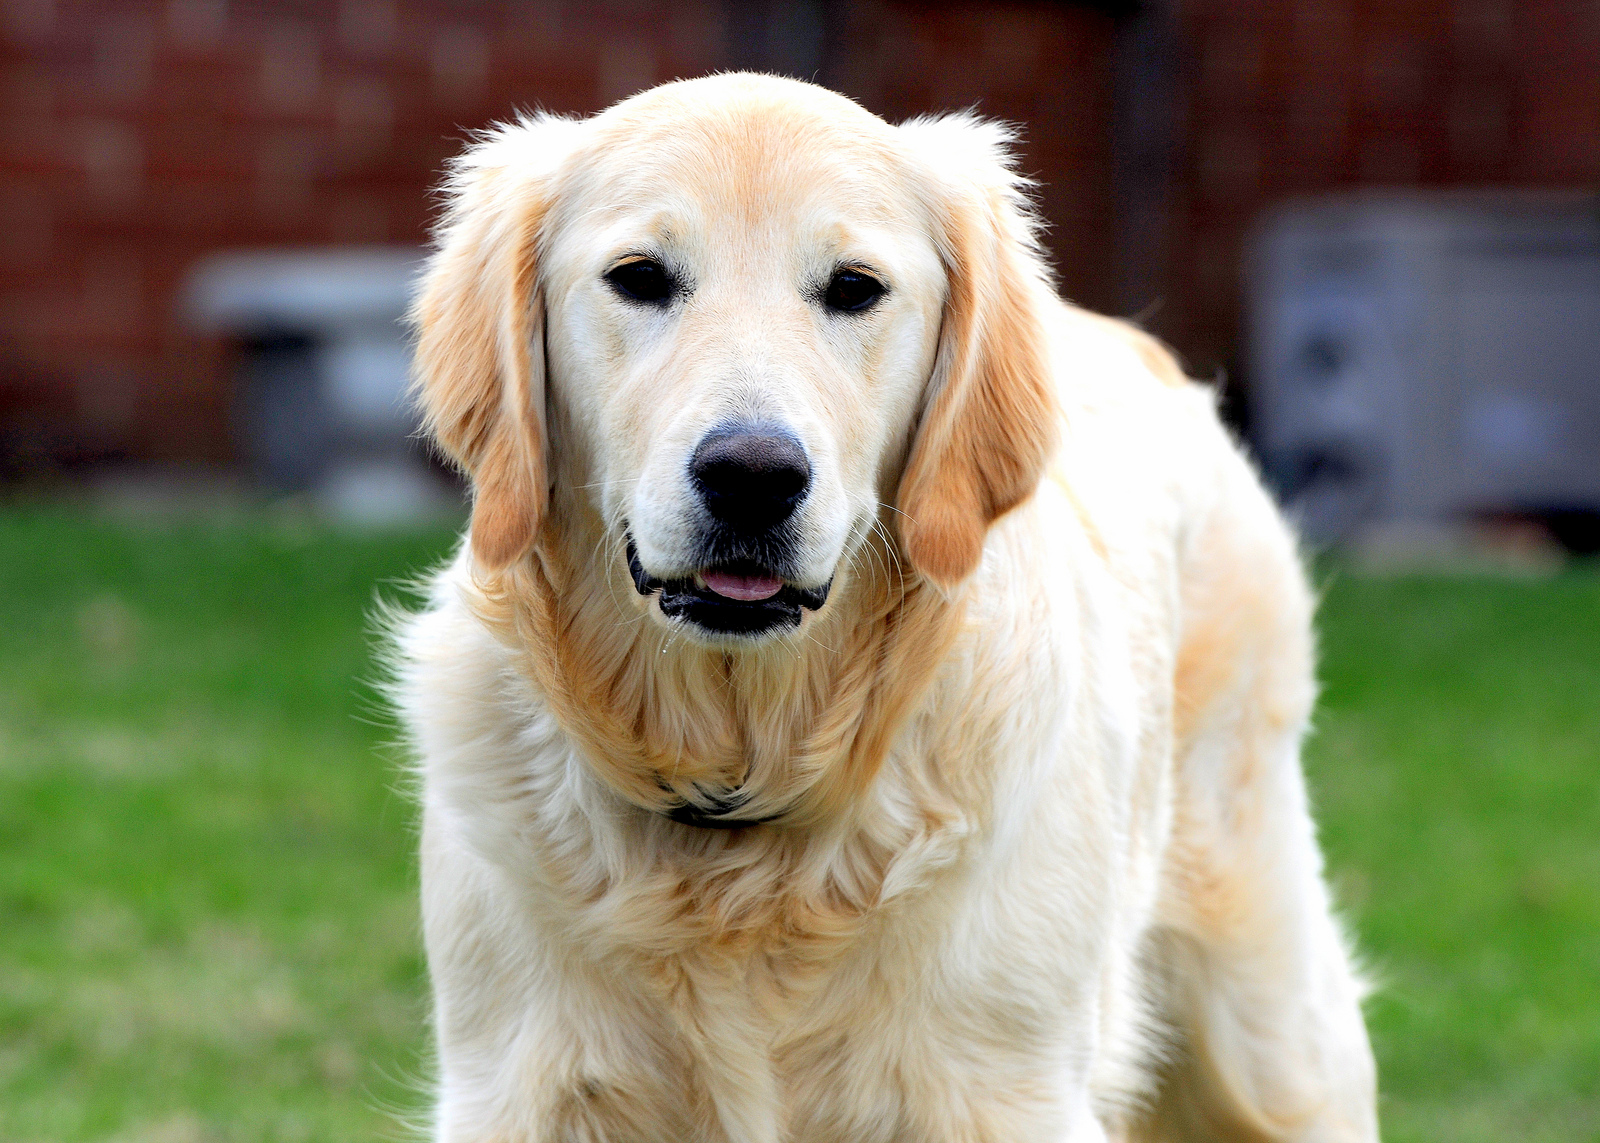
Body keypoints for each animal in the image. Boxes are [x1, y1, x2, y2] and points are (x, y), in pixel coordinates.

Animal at [393, 73, 1382, 1139]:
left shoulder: (1004, 1089)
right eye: (640, 277)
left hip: (1273, 1039)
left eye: (854, 288)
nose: (752, 476)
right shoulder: (520, 1083)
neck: (743, 792)